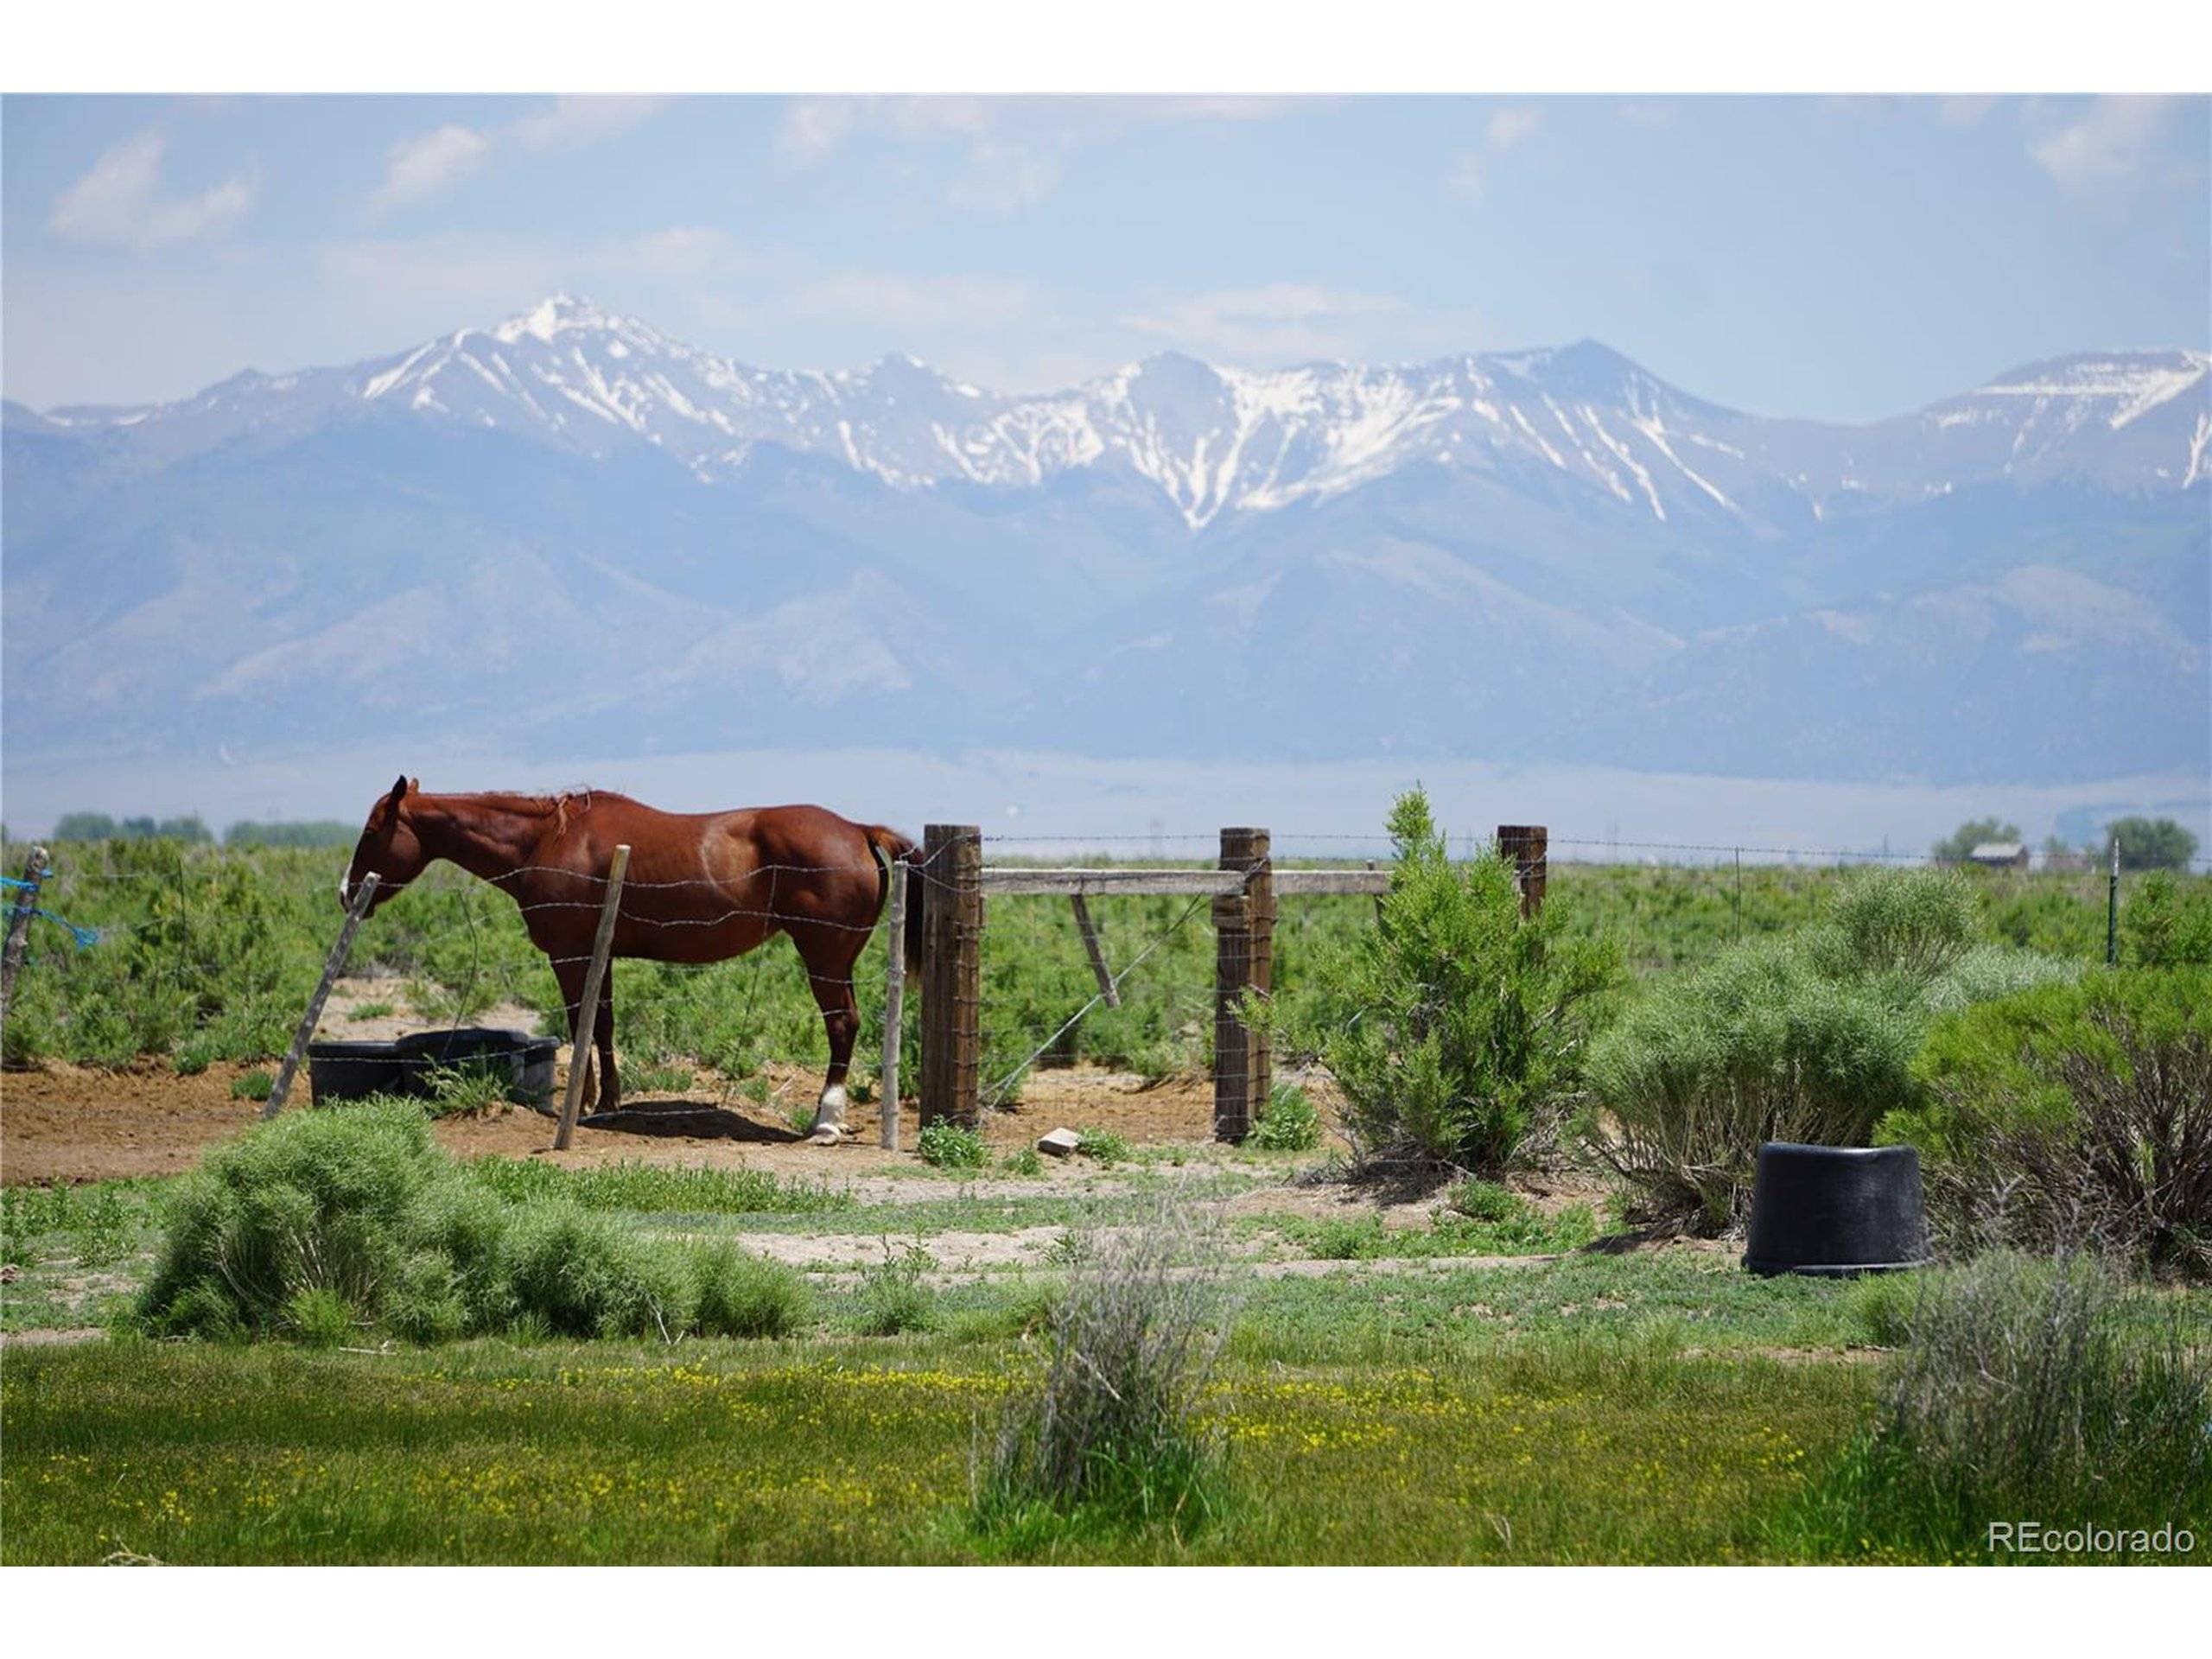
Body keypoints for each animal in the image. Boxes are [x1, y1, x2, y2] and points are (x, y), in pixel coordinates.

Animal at [342, 783, 925, 1141]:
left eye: (371, 832)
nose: (348, 894)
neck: (547, 841)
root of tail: (857, 829)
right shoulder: (601, 955)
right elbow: (603, 1025)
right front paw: (608, 1100)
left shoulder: (570, 955)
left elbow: (579, 1024)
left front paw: (580, 1104)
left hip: (824, 956)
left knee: (842, 1024)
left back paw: (825, 1121)